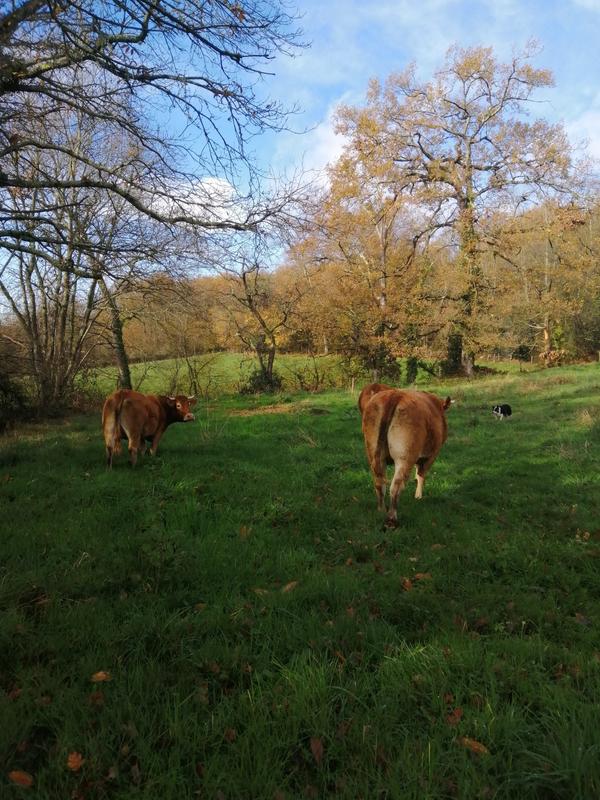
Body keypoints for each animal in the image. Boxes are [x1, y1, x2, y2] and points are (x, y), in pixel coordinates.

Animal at [360, 386, 450, 524]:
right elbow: (421, 475)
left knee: (379, 482)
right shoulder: (431, 455)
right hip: (405, 457)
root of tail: (395, 394)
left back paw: (381, 510)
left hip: (373, 452)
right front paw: (418, 496)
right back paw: (392, 518)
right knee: (396, 485)